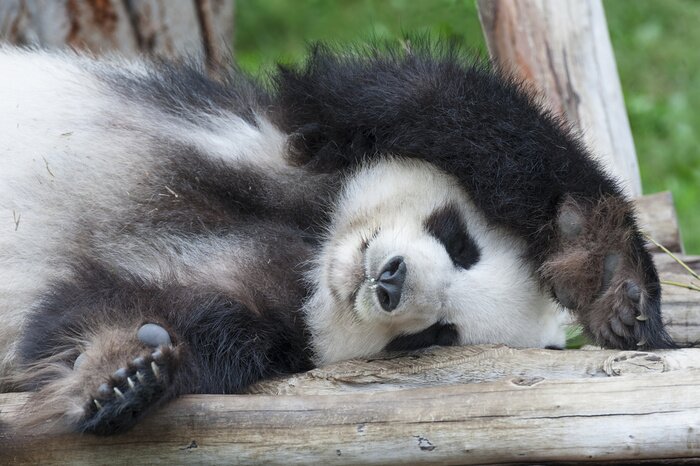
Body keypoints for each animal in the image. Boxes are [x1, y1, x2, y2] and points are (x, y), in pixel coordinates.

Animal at [0, 42, 674, 435]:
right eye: (461, 244)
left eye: (435, 336)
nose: (390, 281)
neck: (312, 251)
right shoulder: (304, 134)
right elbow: (447, 105)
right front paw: (612, 278)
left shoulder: (270, 319)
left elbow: (114, 310)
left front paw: (123, 373)